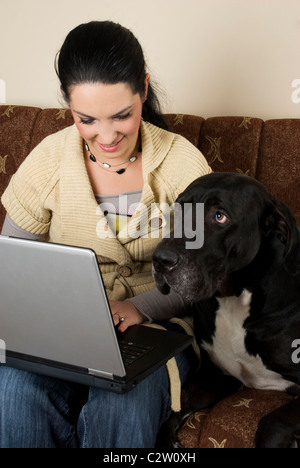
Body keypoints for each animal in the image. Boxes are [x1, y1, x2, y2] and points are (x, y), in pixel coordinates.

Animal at [152, 173, 300, 450]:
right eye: (180, 209)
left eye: (220, 216)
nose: (160, 260)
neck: (234, 300)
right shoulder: (216, 375)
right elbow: (174, 408)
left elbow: (272, 422)